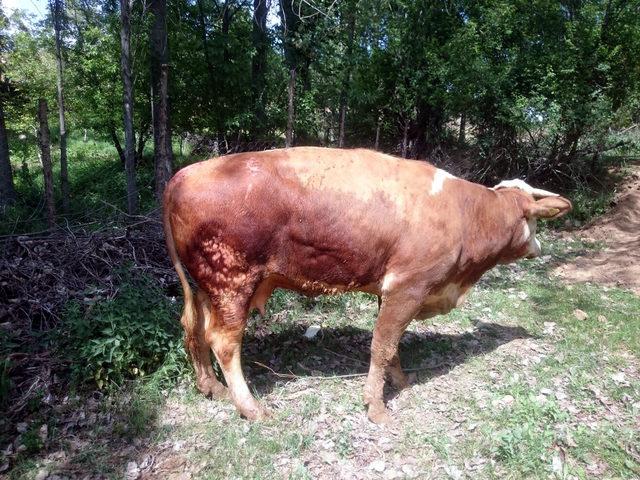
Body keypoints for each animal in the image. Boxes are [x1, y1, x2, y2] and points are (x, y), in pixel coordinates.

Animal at [162, 147, 572, 424]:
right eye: (532, 219)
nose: (539, 248)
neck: (463, 213)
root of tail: (184, 174)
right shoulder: (408, 286)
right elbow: (381, 345)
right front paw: (376, 407)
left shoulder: (393, 292)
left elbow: (392, 347)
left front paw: (401, 381)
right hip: (232, 282)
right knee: (223, 342)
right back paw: (250, 407)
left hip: (204, 286)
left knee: (193, 328)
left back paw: (211, 387)